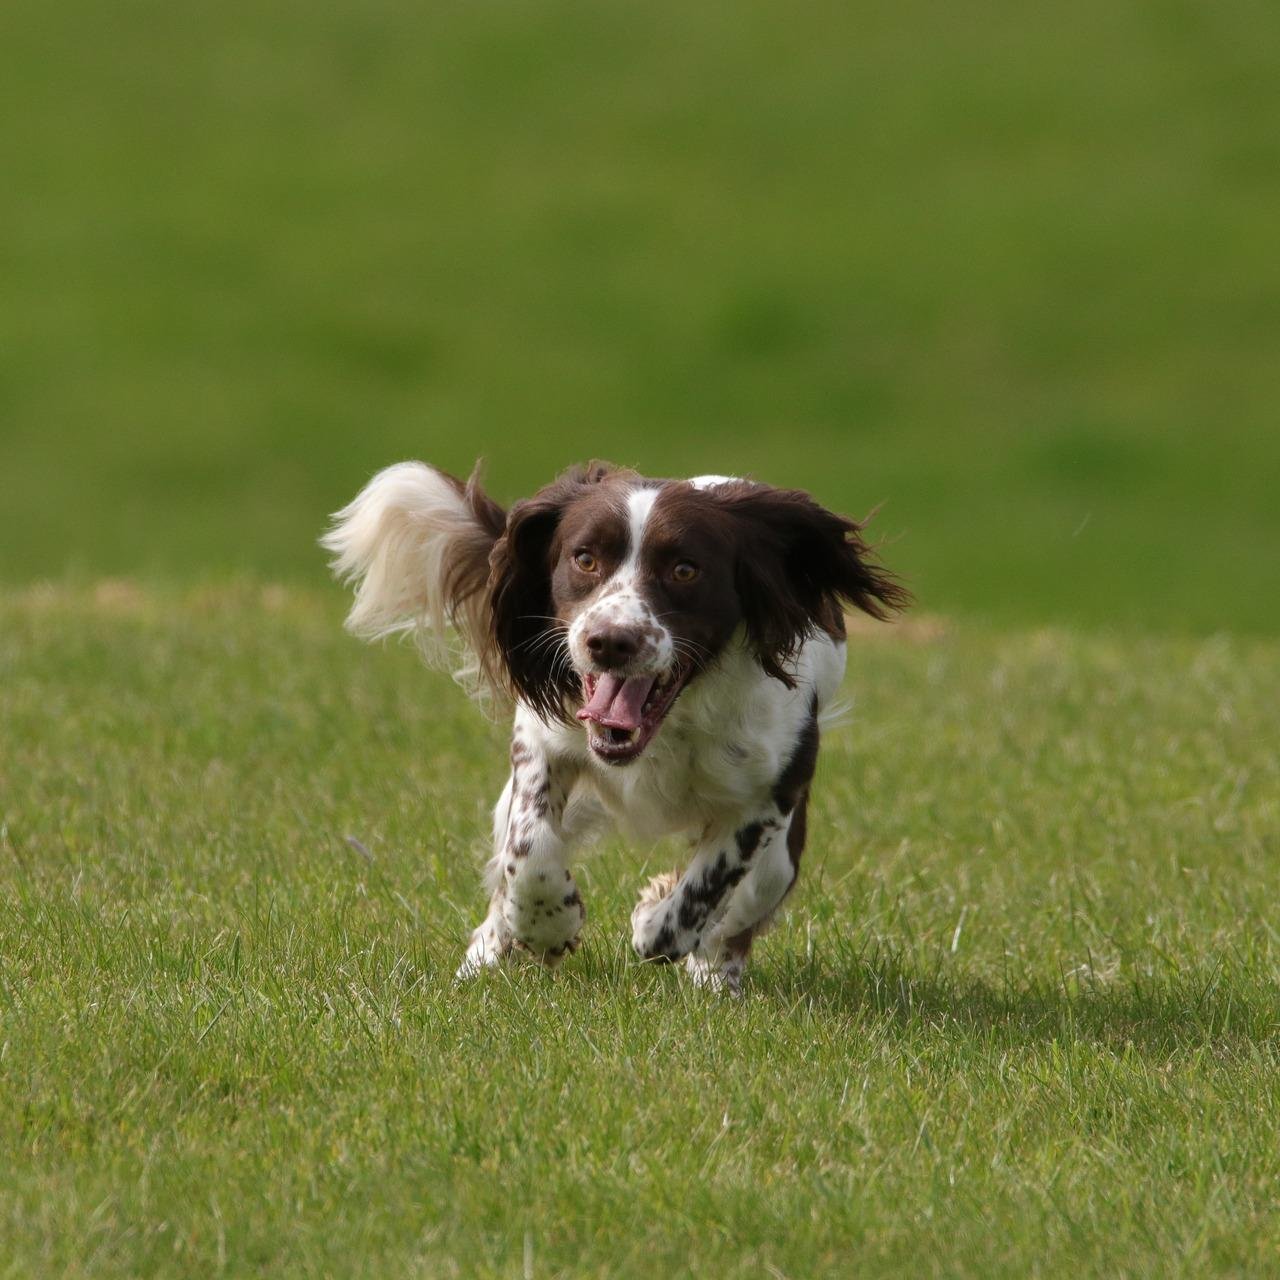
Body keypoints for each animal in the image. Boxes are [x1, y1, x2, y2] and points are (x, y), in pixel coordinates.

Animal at [320, 458, 906, 988]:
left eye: (685, 569)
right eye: (584, 558)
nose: (609, 641)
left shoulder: (769, 790)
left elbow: (708, 885)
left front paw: (654, 919)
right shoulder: (542, 739)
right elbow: (530, 849)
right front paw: (548, 927)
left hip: (778, 857)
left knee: (742, 913)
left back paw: (715, 975)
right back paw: (484, 959)